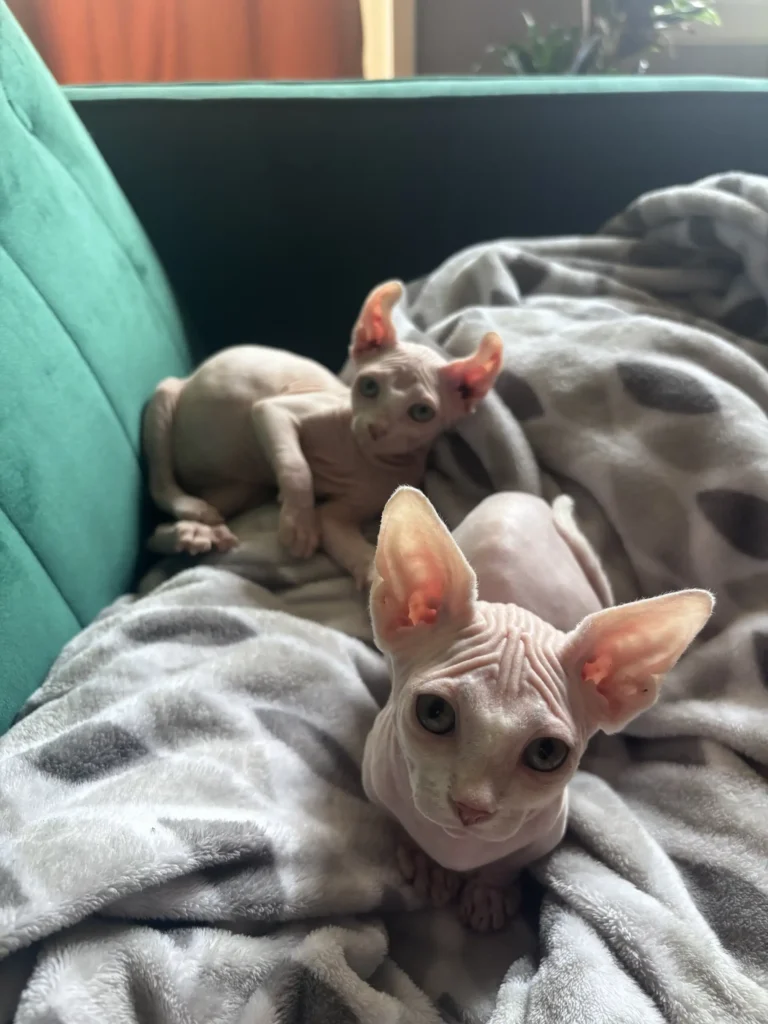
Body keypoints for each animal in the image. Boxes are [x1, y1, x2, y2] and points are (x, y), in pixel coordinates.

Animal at [142, 281, 503, 587]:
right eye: (369, 386)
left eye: (421, 412)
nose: (375, 428)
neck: (362, 457)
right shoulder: (276, 411)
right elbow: (297, 468)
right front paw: (299, 525)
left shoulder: (347, 509)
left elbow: (337, 528)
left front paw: (378, 581)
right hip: (166, 398)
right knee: (160, 486)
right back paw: (190, 510)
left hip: (241, 487)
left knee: (158, 531)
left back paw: (190, 532)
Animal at [363, 486, 714, 930]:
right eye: (435, 713)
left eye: (546, 753)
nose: (470, 809)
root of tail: (529, 497)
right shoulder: (376, 788)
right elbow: (401, 827)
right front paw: (429, 865)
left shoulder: (544, 837)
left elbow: (508, 863)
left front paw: (490, 891)